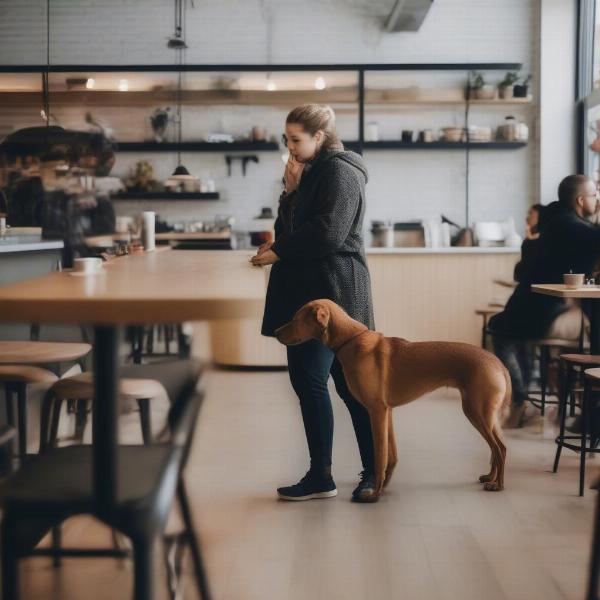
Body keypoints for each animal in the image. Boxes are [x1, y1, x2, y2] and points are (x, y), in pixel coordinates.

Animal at [274, 298, 508, 500]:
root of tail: (496, 361)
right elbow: (391, 456)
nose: (275, 332)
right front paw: (384, 487)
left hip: (478, 412)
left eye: (296, 319)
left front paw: (374, 494)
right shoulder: (387, 412)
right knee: (497, 448)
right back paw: (490, 477)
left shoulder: (376, 411)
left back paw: (498, 484)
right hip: (479, 413)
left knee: (500, 449)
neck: (351, 341)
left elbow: (379, 457)